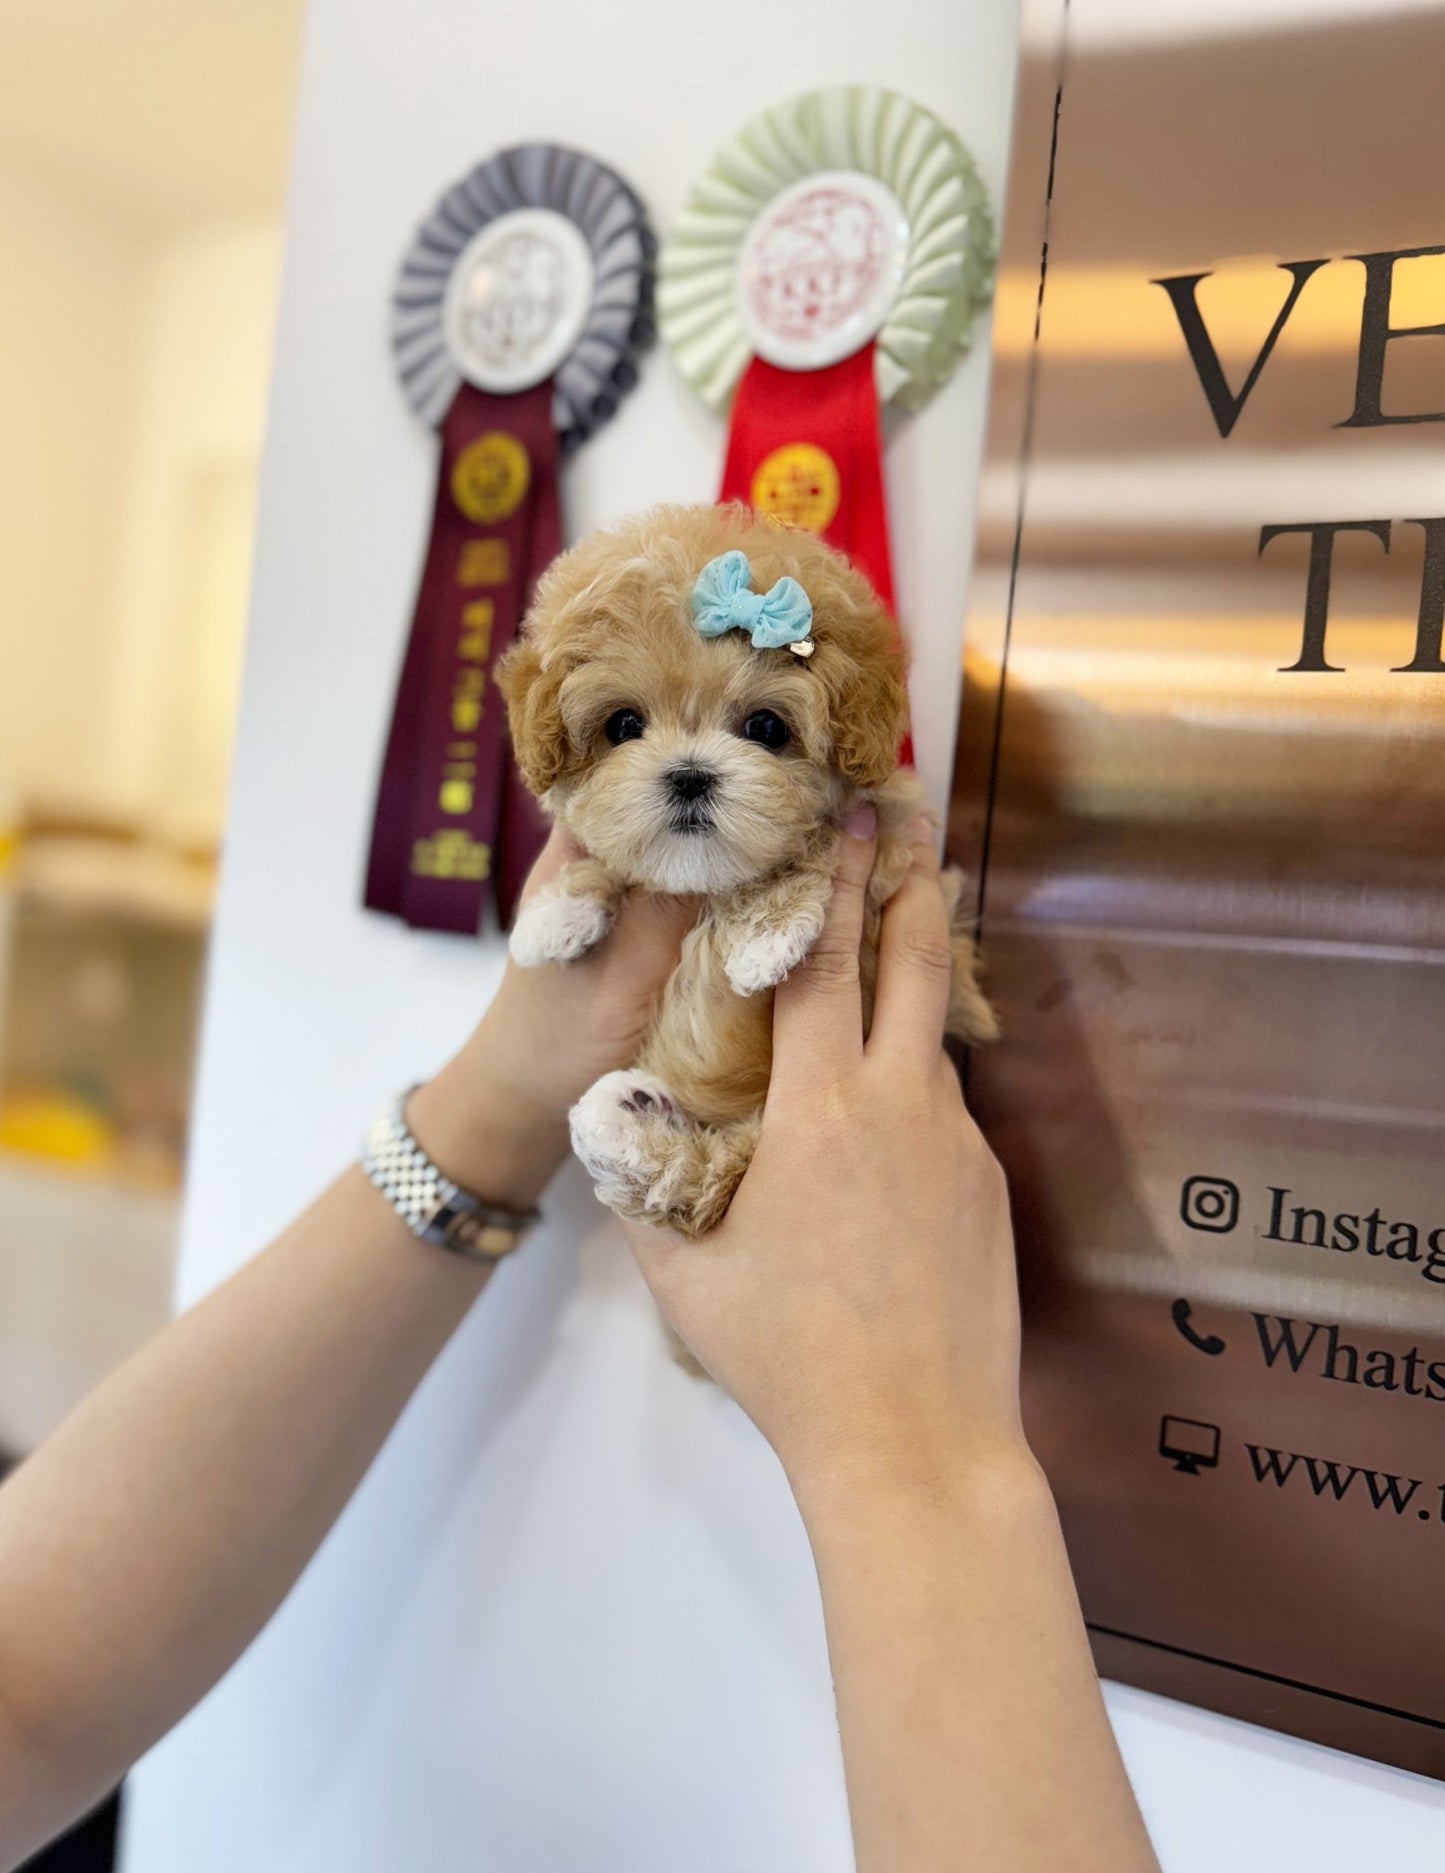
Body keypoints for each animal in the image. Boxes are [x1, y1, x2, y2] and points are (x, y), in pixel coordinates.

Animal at [498, 501, 997, 1228]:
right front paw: (555, 913)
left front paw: (766, 935)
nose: (688, 776)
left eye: (765, 727)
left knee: (711, 1178)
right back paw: (629, 1118)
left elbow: (821, 844)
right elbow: (608, 855)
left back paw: (631, 1124)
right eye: (623, 726)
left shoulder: (894, 834)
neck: (707, 881)